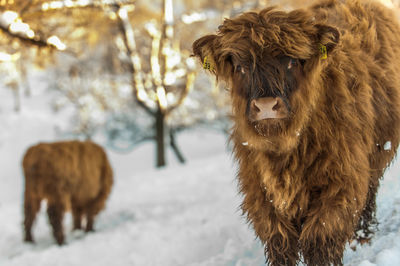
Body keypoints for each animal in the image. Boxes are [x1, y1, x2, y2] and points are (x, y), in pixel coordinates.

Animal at [192, 0, 400, 264]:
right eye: (240, 67)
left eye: (291, 61)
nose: (266, 105)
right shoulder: (260, 194)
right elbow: (280, 241)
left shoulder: (341, 183)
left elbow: (320, 238)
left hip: (374, 160)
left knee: (367, 201)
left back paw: (362, 239)